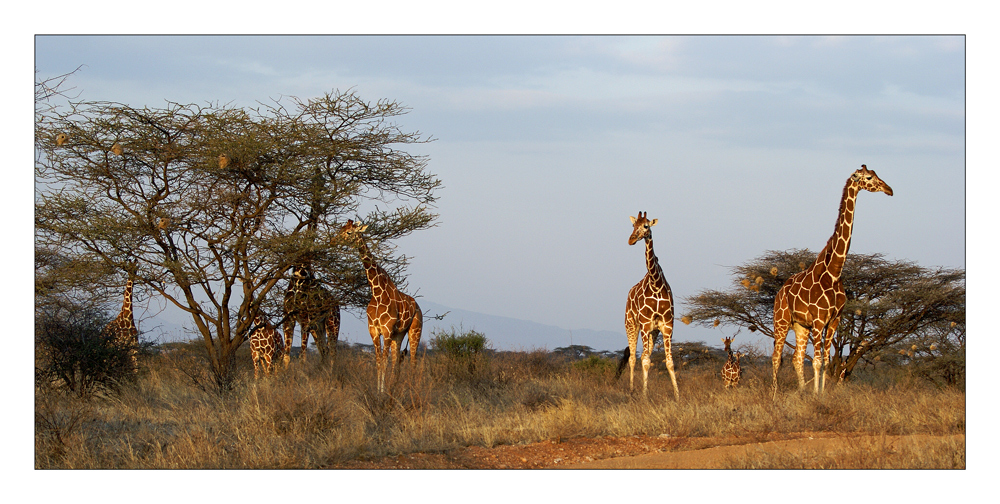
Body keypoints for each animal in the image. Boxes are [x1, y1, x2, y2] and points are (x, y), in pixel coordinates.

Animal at [336, 220, 422, 394]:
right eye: (341, 228)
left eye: (349, 232)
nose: (334, 240)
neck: (376, 292)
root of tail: (418, 307)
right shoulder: (374, 330)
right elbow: (377, 362)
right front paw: (379, 390)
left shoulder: (387, 330)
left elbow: (383, 361)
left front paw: (381, 392)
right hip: (399, 334)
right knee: (397, 363)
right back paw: (394, 388)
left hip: (415, 330)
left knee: (413, 361)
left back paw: (412, 389)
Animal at [624, 211, 680, 400]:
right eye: (633, 225)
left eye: (646, 226)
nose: (631, 239)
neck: (656, 284)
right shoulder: (645, 324)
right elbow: (646, 361)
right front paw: (644, 395)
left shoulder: (667, 326)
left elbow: (669, 362)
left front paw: (677, 395)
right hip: (631, 324)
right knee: (633, 358)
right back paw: (632, 390)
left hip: (653, 332)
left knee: (642, 355)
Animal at [768, 163, 896, 396]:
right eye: (868, 177)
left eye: (875, 174)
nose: (889, 189)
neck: (834, 272)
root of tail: (780, 291)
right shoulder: (819, 320)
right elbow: (818, 361)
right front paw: (816, 395)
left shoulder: (834, 319)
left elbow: (826, 361)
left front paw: (820, 394)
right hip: (781, 320)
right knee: (776, 357)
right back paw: (774, 394)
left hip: (800, 326)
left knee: (797, 358)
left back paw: (801, 391)